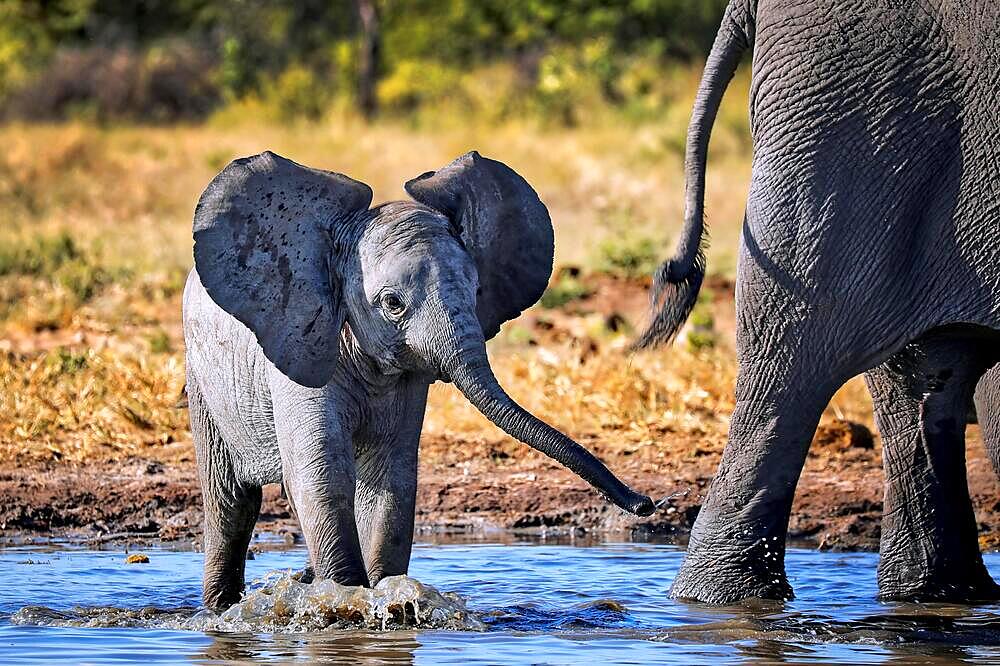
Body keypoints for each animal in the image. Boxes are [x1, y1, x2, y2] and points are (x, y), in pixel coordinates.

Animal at [185, 149, 656, 608]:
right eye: (393, 304)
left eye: (476, 290)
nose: (645, 504)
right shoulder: (302, 346)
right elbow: (324, 474)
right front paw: (343, 601)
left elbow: (390, 482)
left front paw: (385, 597)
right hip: (201, 375)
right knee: (232, 502)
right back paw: (220, 607)